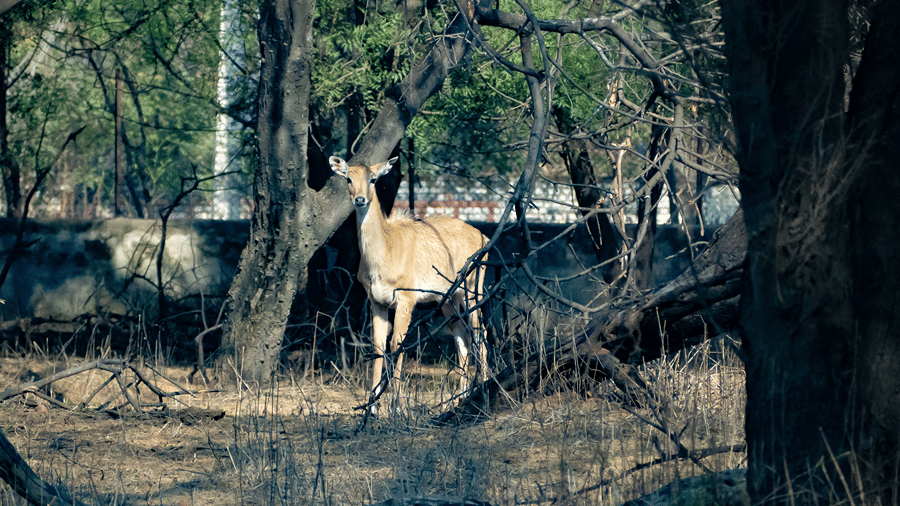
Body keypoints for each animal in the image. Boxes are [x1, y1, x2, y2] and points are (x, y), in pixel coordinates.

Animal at [329, 156, 489, 416]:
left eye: (373, 179)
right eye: (348, 179)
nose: (360, 199)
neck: (384, 253)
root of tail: (484, 237)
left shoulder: (406, 298)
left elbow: (397, 343)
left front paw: (397, 408)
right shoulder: (376, 300)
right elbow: (378, 345)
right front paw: (372, 408)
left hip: (473, 289)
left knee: (480, 334)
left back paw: (480, 392)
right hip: (449, 298)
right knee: (462, 339)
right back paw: (460, 399)